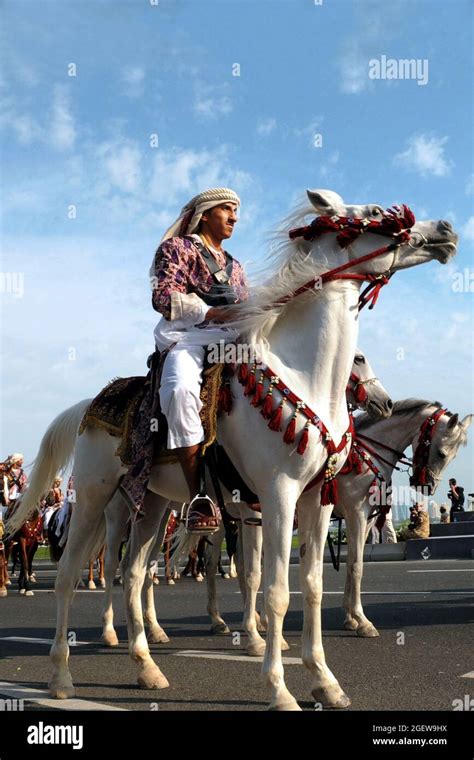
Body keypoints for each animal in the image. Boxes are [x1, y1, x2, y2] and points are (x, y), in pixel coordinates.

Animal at [7, 187, 458, 708]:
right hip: (96, 497)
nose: (446, 229)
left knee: (136, 574)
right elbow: (274, 589)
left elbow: (311, 585)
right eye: (375, 213)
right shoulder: (277, 496)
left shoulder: (316, 502)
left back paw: (147, 666)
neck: (305, 374)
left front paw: (325, 680)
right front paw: (278, 685)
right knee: (71, 575)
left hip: (154, 503)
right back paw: (62, 675)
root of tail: (90, 403)